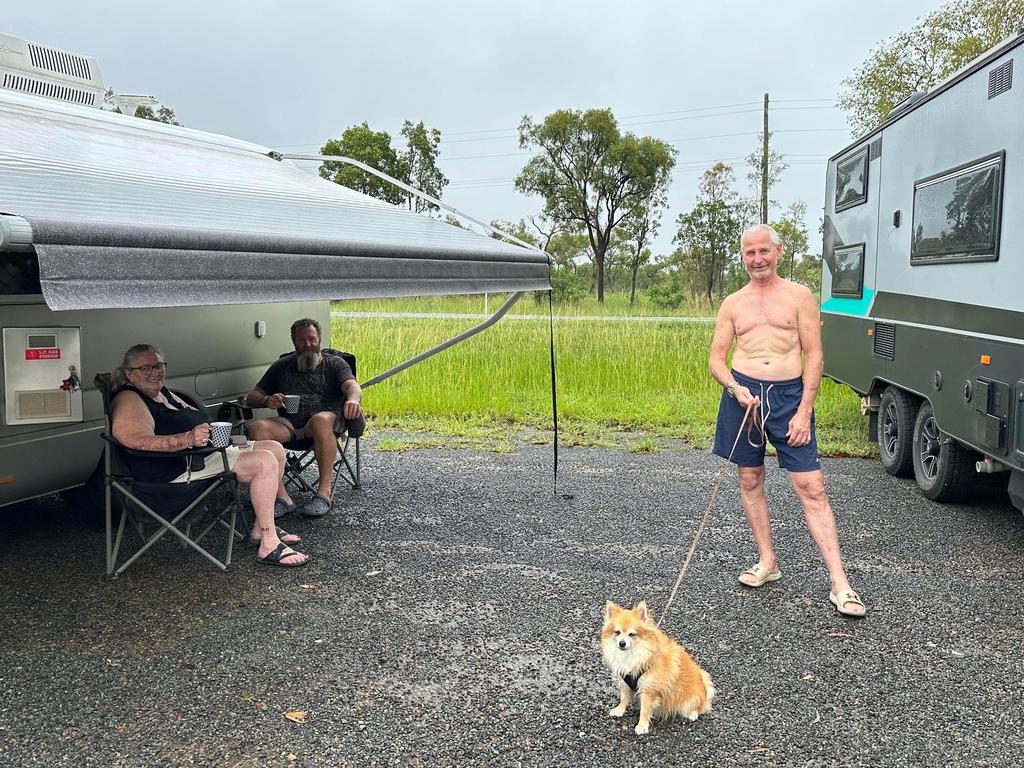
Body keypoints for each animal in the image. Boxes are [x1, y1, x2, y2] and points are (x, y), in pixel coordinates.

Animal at [598, 602, 716, 733]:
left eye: (632, 634)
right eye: (617, 632)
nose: (622, 643)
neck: (634, 655)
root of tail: (705, 687)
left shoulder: (649, 690)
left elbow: (645, 710)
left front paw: (642, 726)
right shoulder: (624, 682)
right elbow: (624, 698)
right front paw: (619, 710)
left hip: (690, 700)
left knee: (700, 707)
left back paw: (693, 713)